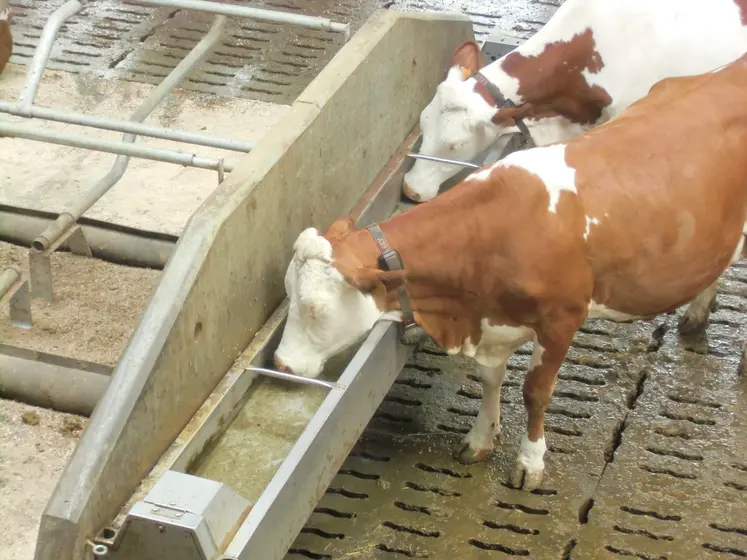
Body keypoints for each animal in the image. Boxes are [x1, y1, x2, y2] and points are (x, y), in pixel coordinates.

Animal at [272, 52, 747, 490]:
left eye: (315, 309)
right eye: (288, 294)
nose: (281, 364)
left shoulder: (561, 318)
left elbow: (536, 392)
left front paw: (530, 462)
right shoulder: (491, 321)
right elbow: (490, 379)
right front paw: (481, 438)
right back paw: (696, 317)